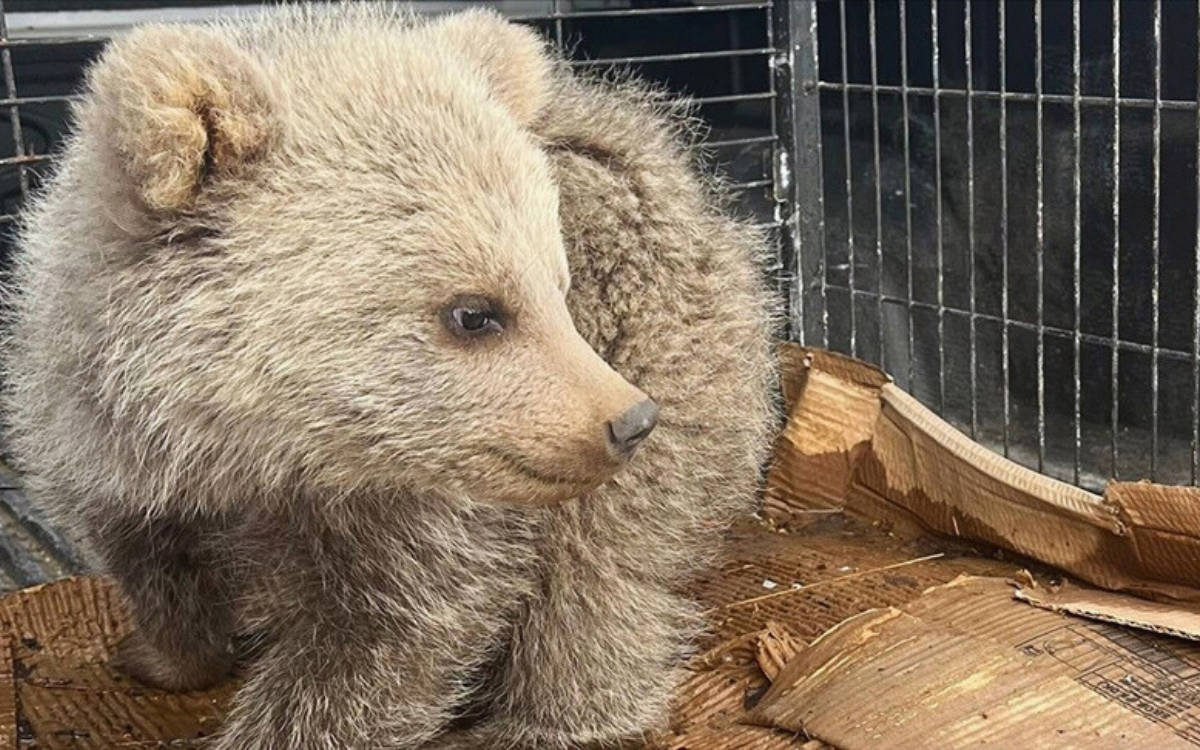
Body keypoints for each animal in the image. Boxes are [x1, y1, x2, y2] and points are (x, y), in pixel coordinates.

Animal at [2, 6, 777, 749]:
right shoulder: (103, 441)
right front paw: (163, 652)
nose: (627, 420)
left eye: (559, 288)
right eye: (474, 313)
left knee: (601, 563)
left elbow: (393, 635)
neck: (253, 452)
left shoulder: (421, 508)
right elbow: (148, 562)